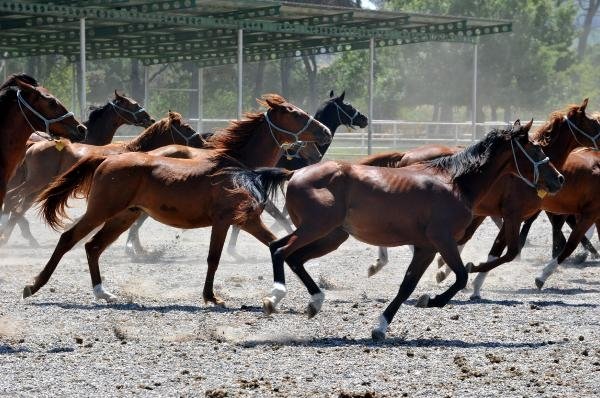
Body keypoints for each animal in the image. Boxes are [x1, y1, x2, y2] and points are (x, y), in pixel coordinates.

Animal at [25, 95, 330, 306]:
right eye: (294, 113)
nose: (325, 132)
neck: (236, 167)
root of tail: (107, 158)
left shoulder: (249, 220)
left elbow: (276, 245)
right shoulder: (223, 221)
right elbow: (213, 258)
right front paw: (211, 297)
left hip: (125, 215)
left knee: (93, 246)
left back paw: (104, 293)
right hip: (101, 210)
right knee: (69, 238)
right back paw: (34, 285)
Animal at [224, 119, 564, 338]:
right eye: (535, 149)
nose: (558, 179)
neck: (454, 181)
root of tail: (293, 173)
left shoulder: (426, 247)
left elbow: (407, 286)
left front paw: (380, 326)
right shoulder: (442, 240)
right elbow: (460, 276)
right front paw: (433, 300)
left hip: (333, 235)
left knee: (293, 257)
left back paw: (314, 302)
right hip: (316, 228)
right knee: (280, 248)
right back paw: (275, 297)